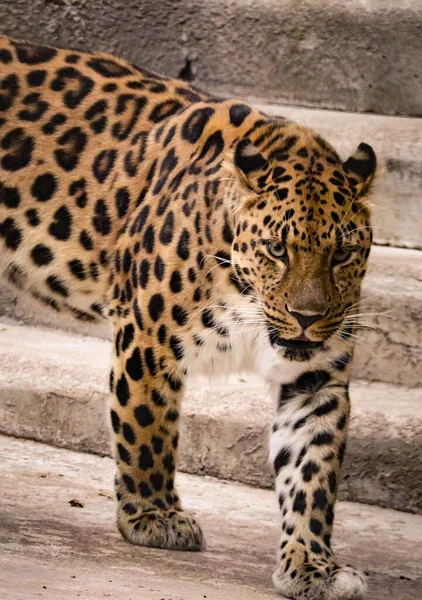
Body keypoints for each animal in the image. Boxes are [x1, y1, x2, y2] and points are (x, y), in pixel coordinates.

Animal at [0, 36, 376, 600]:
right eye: (277, 249)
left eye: (343, 254)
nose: (307, 317)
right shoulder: (146, 338)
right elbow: (147, 428)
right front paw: (153, 517)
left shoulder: (317, 377)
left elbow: (312, 470)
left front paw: (312, 564)